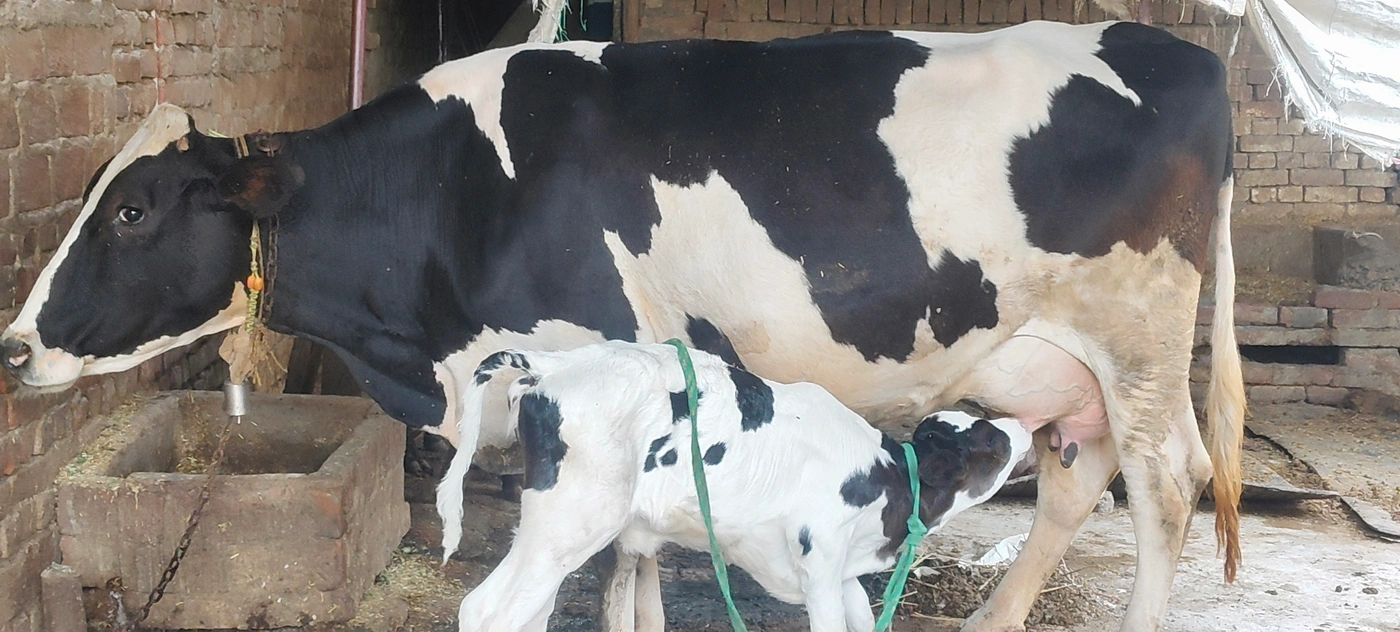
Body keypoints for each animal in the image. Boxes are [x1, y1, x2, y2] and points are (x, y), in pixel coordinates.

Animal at [439, 343, 1035, 632]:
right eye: (989, 443)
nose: (1024, 426)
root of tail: (554, 364)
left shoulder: (843, 572)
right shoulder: (820, 567)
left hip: (555, 532)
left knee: (528, 613)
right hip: (575, 519)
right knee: (486, 611)